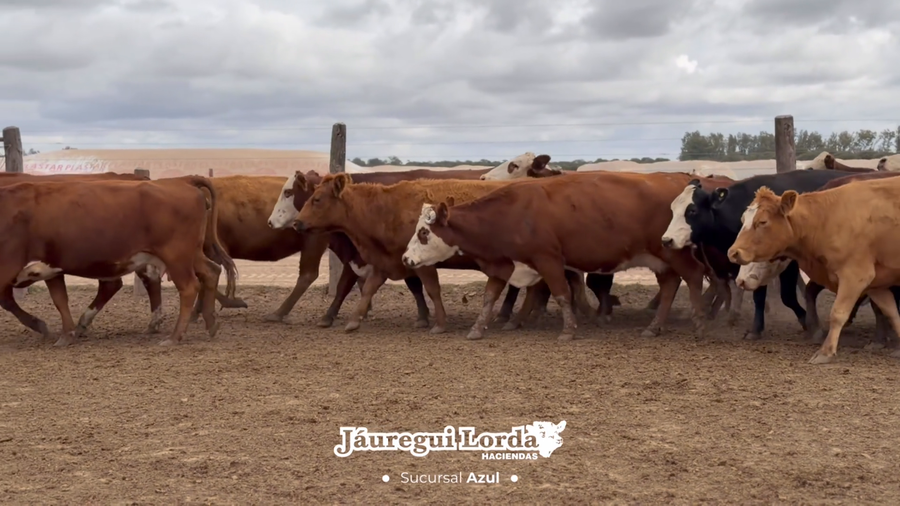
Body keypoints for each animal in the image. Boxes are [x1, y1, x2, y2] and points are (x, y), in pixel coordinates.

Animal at [0, 177, 229, 346]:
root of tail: (182, 182)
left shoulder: (10, 268)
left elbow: (7, 299)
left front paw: (41, 325)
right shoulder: (51, 266)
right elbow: (60, 300)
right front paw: (66, 334)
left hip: (176, 257)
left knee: (189, 287)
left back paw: (174, 337)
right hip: (191, 254)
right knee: (211, 271)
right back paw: (211, 323)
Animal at [401, 171, 712, 341]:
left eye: (423, 233)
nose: (406, 259)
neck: (512, 213)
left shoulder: (548, 260)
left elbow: (562, 294)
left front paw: (569, 330)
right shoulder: (504, 263)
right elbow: (489, 297)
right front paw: (477, 329)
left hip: (673, 250)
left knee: (694, 277)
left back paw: (699, 323)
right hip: (661, 258)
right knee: (670, 286)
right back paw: (654, 327)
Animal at [660, 169, 863, 340]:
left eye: (692, 210)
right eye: (672, 209)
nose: (667, 240)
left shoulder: (789, 263)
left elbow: (786, 296)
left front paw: (808, 323)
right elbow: (755, 294)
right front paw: (756, 329)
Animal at [727, 178, 900, 364]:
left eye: (763, 222)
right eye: (743, 219)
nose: (733, 253)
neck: (825, 218)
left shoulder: (855, 276)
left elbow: (838, 313)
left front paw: (825, 352)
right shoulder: (876, 286)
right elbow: (892, 313)